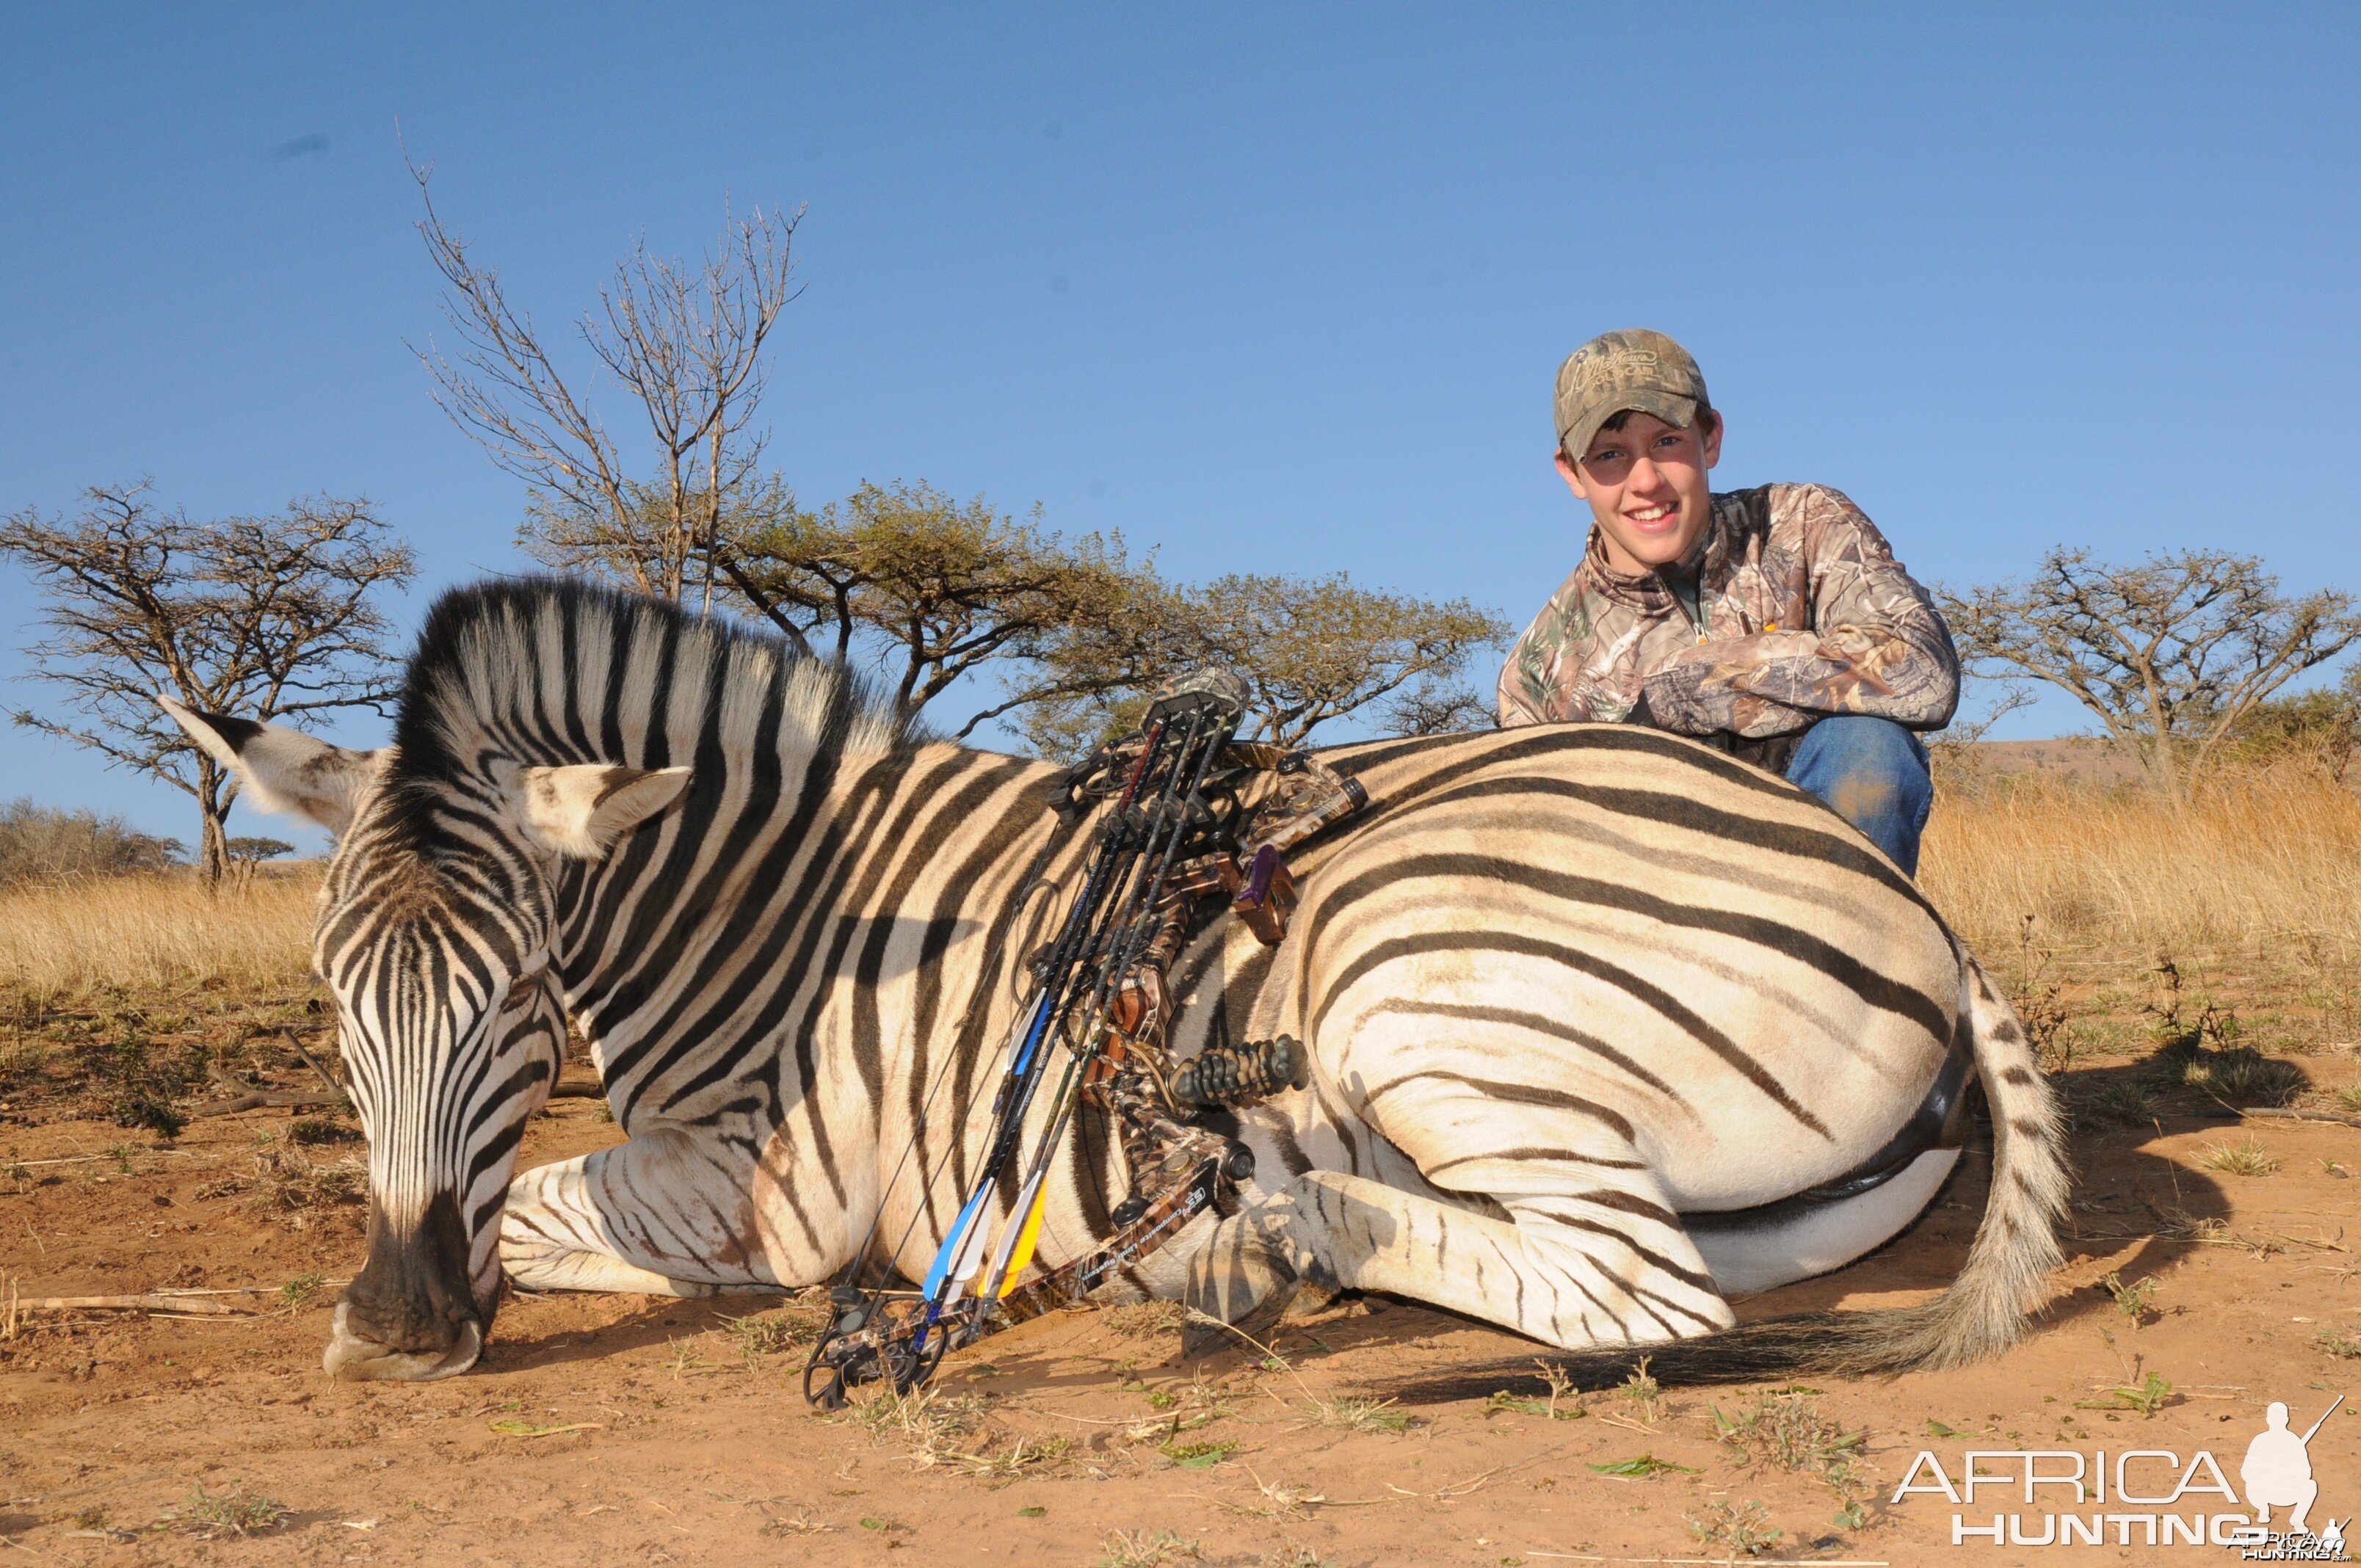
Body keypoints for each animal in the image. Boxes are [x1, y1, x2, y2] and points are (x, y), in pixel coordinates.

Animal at [162, 578, 2068, 1388]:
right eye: (334, 998)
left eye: (513, 992)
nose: (402, 1326)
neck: (771, 904)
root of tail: (1922, 919)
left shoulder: (762, 1197)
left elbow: (545, 1200)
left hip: (1420, 990)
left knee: (1636, 1297)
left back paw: (1248, 1254)